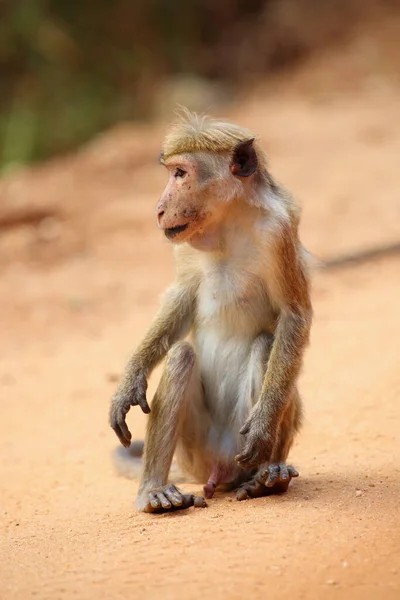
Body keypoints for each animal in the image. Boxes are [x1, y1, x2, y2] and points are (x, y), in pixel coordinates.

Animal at [109, 108, 312, 510]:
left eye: (181, 174)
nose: (159, 209)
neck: (227, 224)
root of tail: (219, 471)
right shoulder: (183, 239)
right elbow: (181, 299)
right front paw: (130, 381)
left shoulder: (278, 231)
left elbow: (293, 315)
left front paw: (263, 429)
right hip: (195, 451)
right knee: (181, 356)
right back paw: (154, 488)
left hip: (238, 442)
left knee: (266, 343)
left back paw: (267, 476)